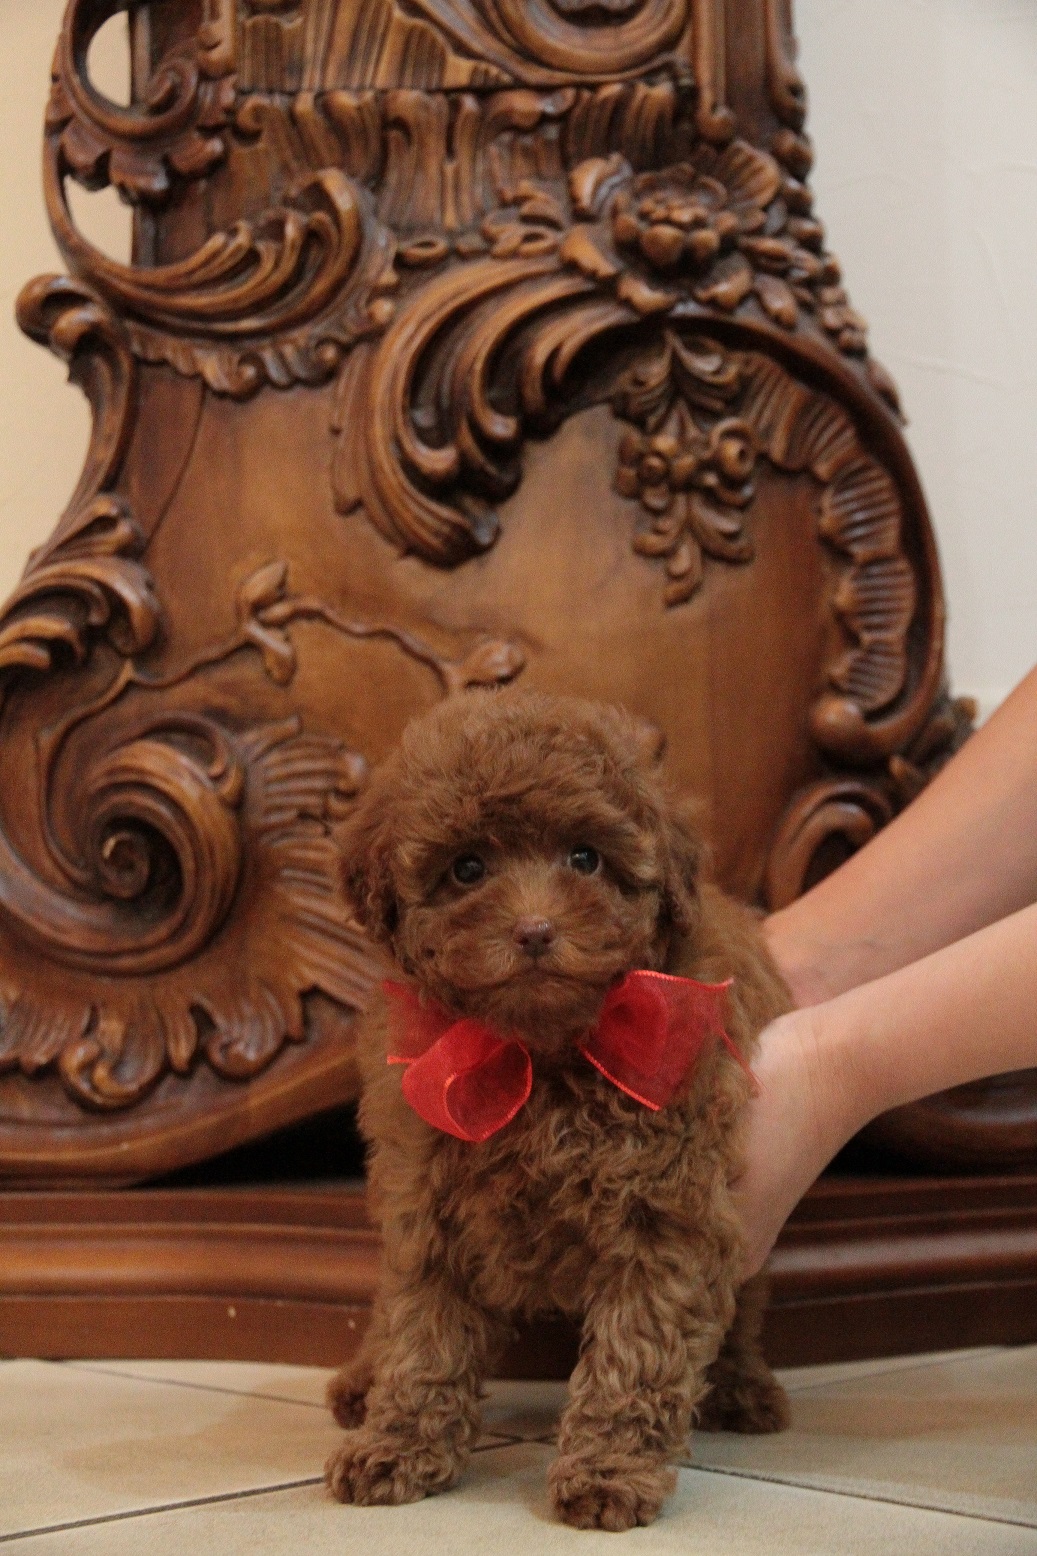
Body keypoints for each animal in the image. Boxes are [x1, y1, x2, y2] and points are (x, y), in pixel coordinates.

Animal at [326, 690, 791, 1531]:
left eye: (584, 858)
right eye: (466, 868)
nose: (535, 930)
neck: (538, 1060)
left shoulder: (666, 1212)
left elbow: (636, 1353)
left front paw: (608, 1471)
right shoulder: (427, 1209)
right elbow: (421, 1337)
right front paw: (397, 1443)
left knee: (744, 1309)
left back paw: (744, 1388)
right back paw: (359, 1382)